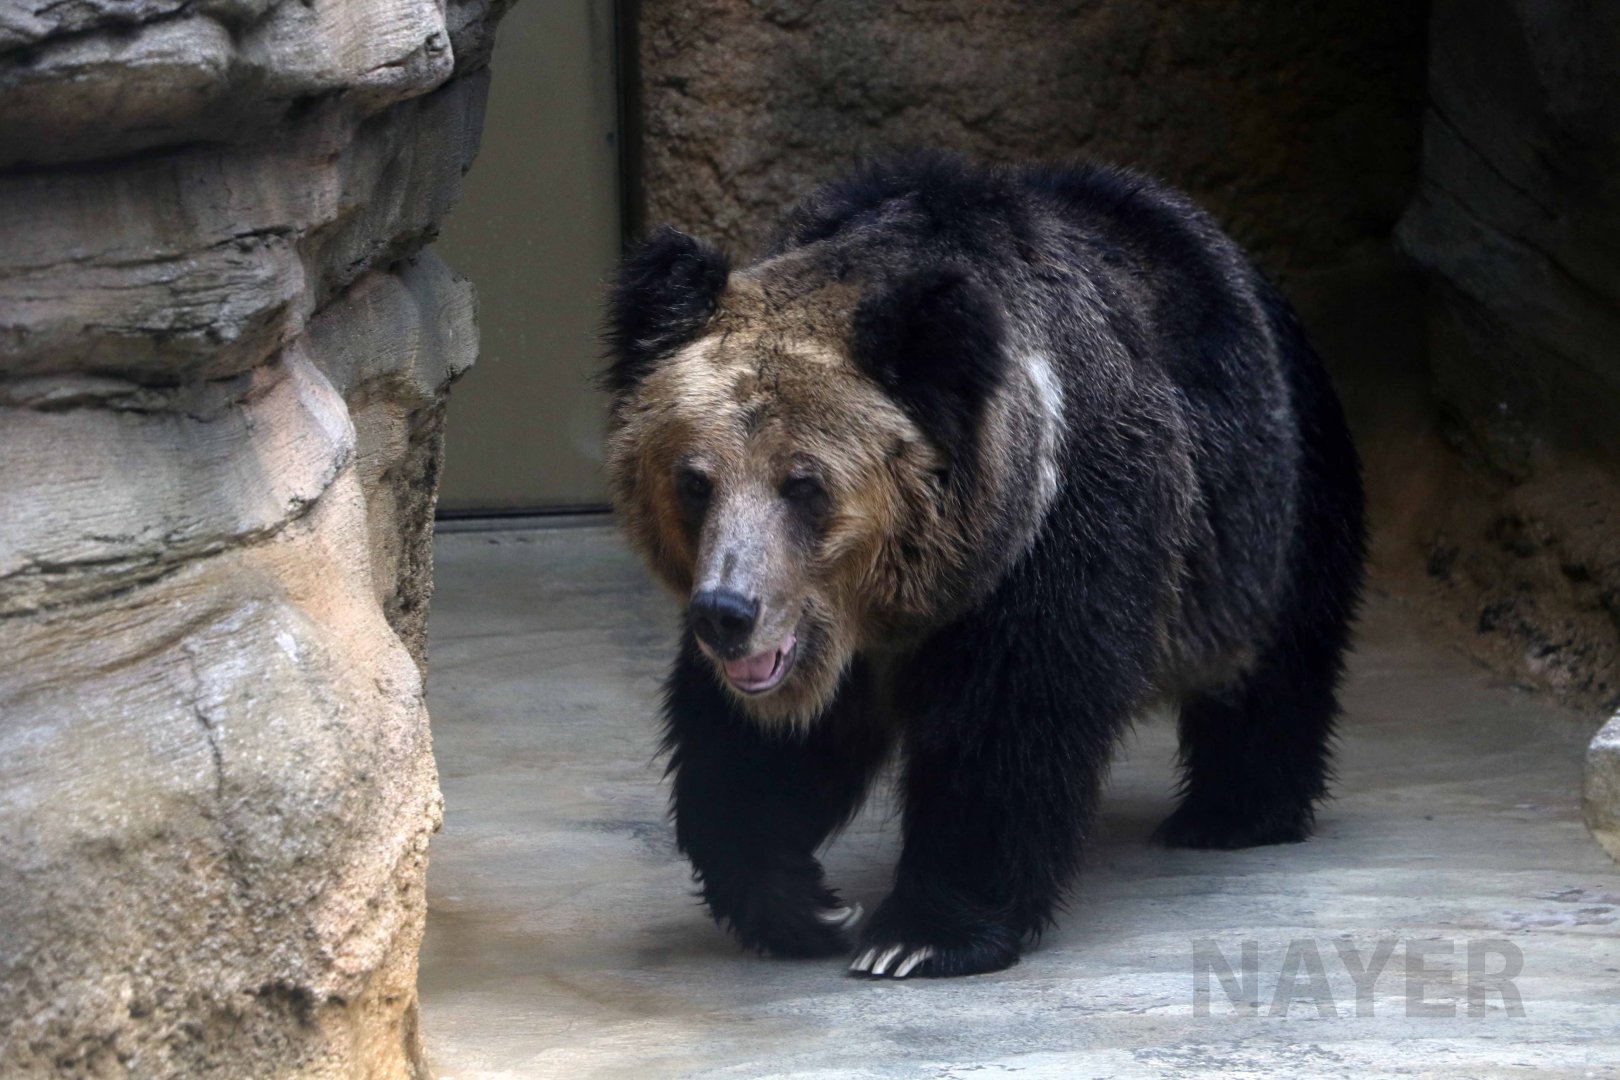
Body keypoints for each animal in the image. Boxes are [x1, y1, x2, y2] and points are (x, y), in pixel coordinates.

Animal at [602, 155, 1365, 979]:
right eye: (694, 482)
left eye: (804, 485)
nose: (728, 614)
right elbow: (753, 747)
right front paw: (804, 905)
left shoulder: (1057, 521)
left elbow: (1011, 724)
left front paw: (917, 934)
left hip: (1274, 499)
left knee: (1274, 665)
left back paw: (1230, 814)